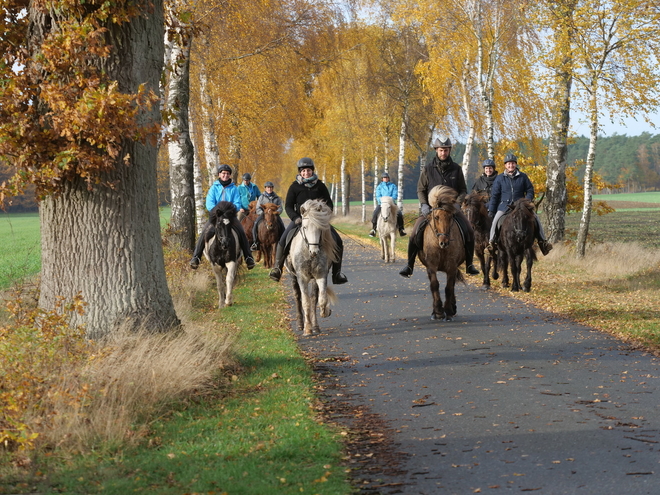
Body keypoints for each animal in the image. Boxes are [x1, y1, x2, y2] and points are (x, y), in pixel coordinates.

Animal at [286, 201, 338, 338]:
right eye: (304, 227)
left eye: (320, 228)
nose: (314, 252)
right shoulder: (302, 278)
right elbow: (305, 302)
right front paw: (307, 329)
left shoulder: (320, 275)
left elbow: (320, 299)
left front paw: (324, 312)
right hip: (293, 277)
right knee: (297, 297)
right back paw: (300, 324)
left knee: (314, 297)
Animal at [418, 186, 464, 322]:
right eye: (436, 217)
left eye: (450, 217)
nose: (444, 242)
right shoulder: (431, 266)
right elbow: (434, 285)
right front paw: (438, 311)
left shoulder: (452, 267)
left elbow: (449, 288)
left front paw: (448, 311)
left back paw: (452, 308)